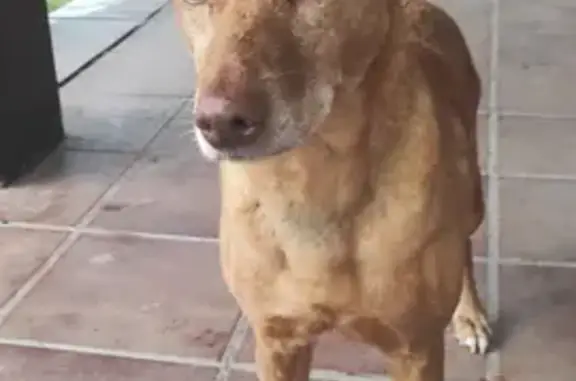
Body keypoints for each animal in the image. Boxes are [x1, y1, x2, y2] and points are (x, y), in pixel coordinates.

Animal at [174, 1, 490, 378]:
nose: (220, 124)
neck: (314, 182)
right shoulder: (277, 342)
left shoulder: (416, 349)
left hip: (473, 200)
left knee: (465, 244)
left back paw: (470, 315)